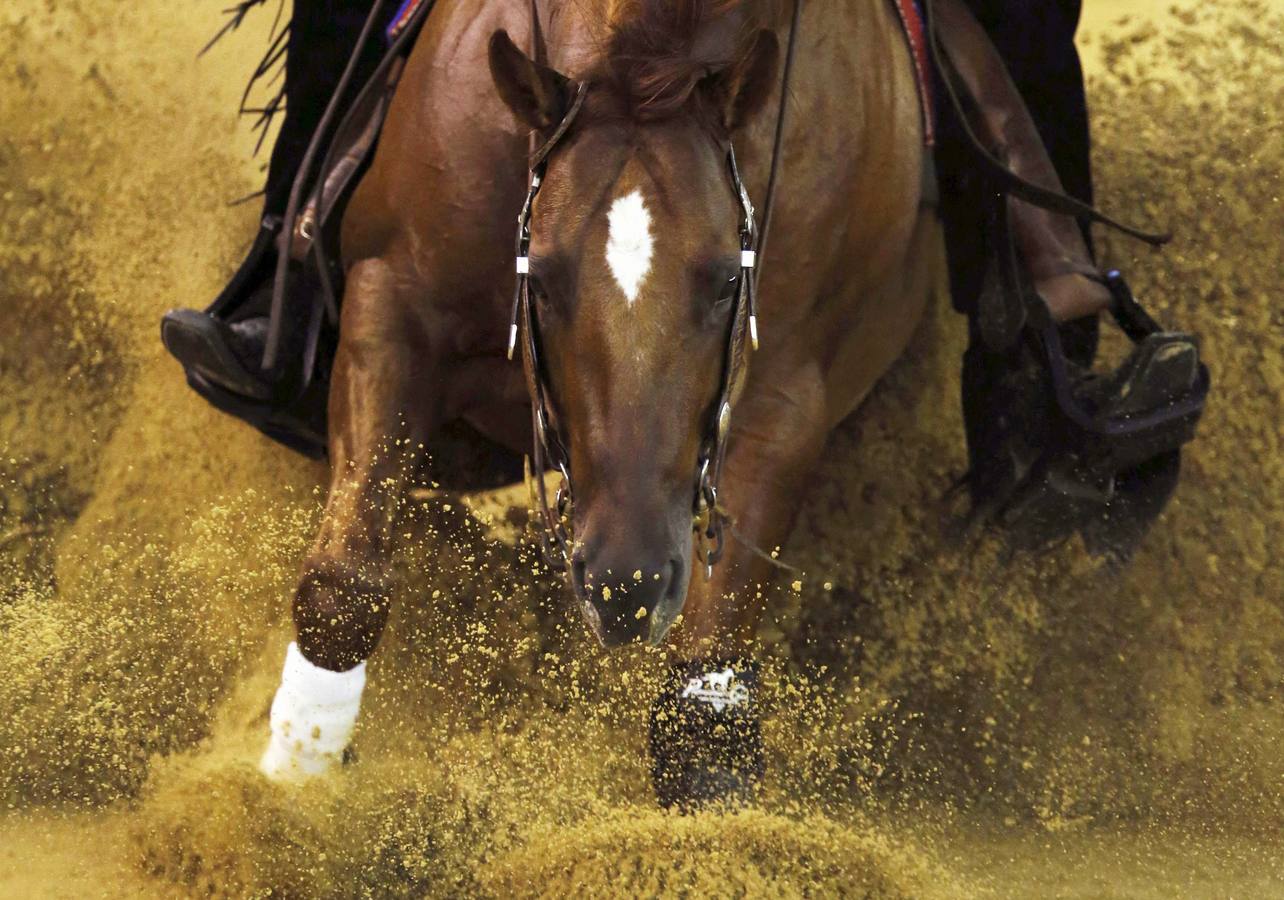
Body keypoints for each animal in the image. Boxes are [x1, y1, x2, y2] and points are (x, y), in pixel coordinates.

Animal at [258, 0, 945, 785]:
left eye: (727, 281)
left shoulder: (781, 406)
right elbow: (341, 595)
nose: (628, 582)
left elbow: (703, 726)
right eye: (542, 278)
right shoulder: (392, 303)